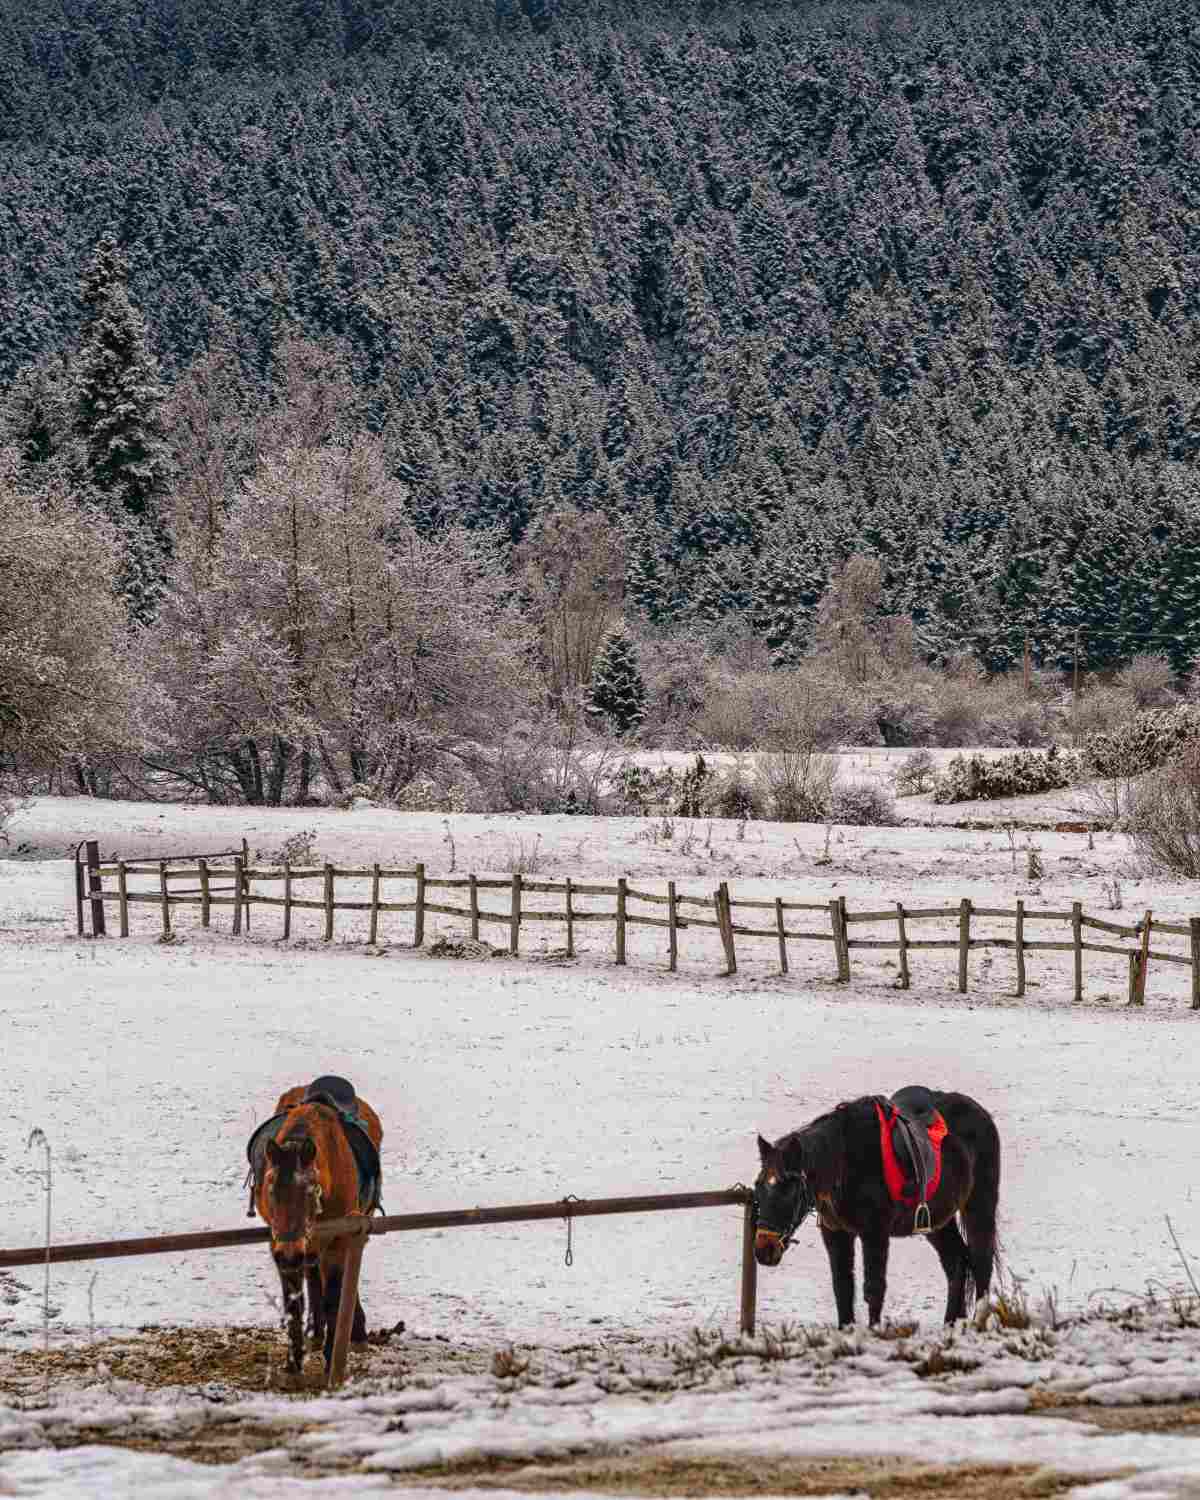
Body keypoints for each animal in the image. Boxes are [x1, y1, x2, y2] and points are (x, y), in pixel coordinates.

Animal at [249, 1074, 384, 1374]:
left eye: (312, 1190)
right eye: (269, 1189)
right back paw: (314, 1330)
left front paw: (332, 1358)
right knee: (312, 1275)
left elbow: (335, 1295)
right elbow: (293, 1301)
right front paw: (293, 1362)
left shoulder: (340, 1239)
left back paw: (354, 1332)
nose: (290, 1253)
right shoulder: (278, 1245)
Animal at [756, 1092, 996, 1326]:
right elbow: (842, 1286)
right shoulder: (836, 1234)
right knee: (956, 1262)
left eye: (788, 1191)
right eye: (758, 1186)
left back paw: (977, 1322)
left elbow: (873, 1288)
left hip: (979, 1207)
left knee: (981, 1259)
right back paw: (951, 1323)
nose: (764, 1249)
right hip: (936, 1220)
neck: (845, 1163)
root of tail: (981, 1113)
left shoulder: (875, 1233)